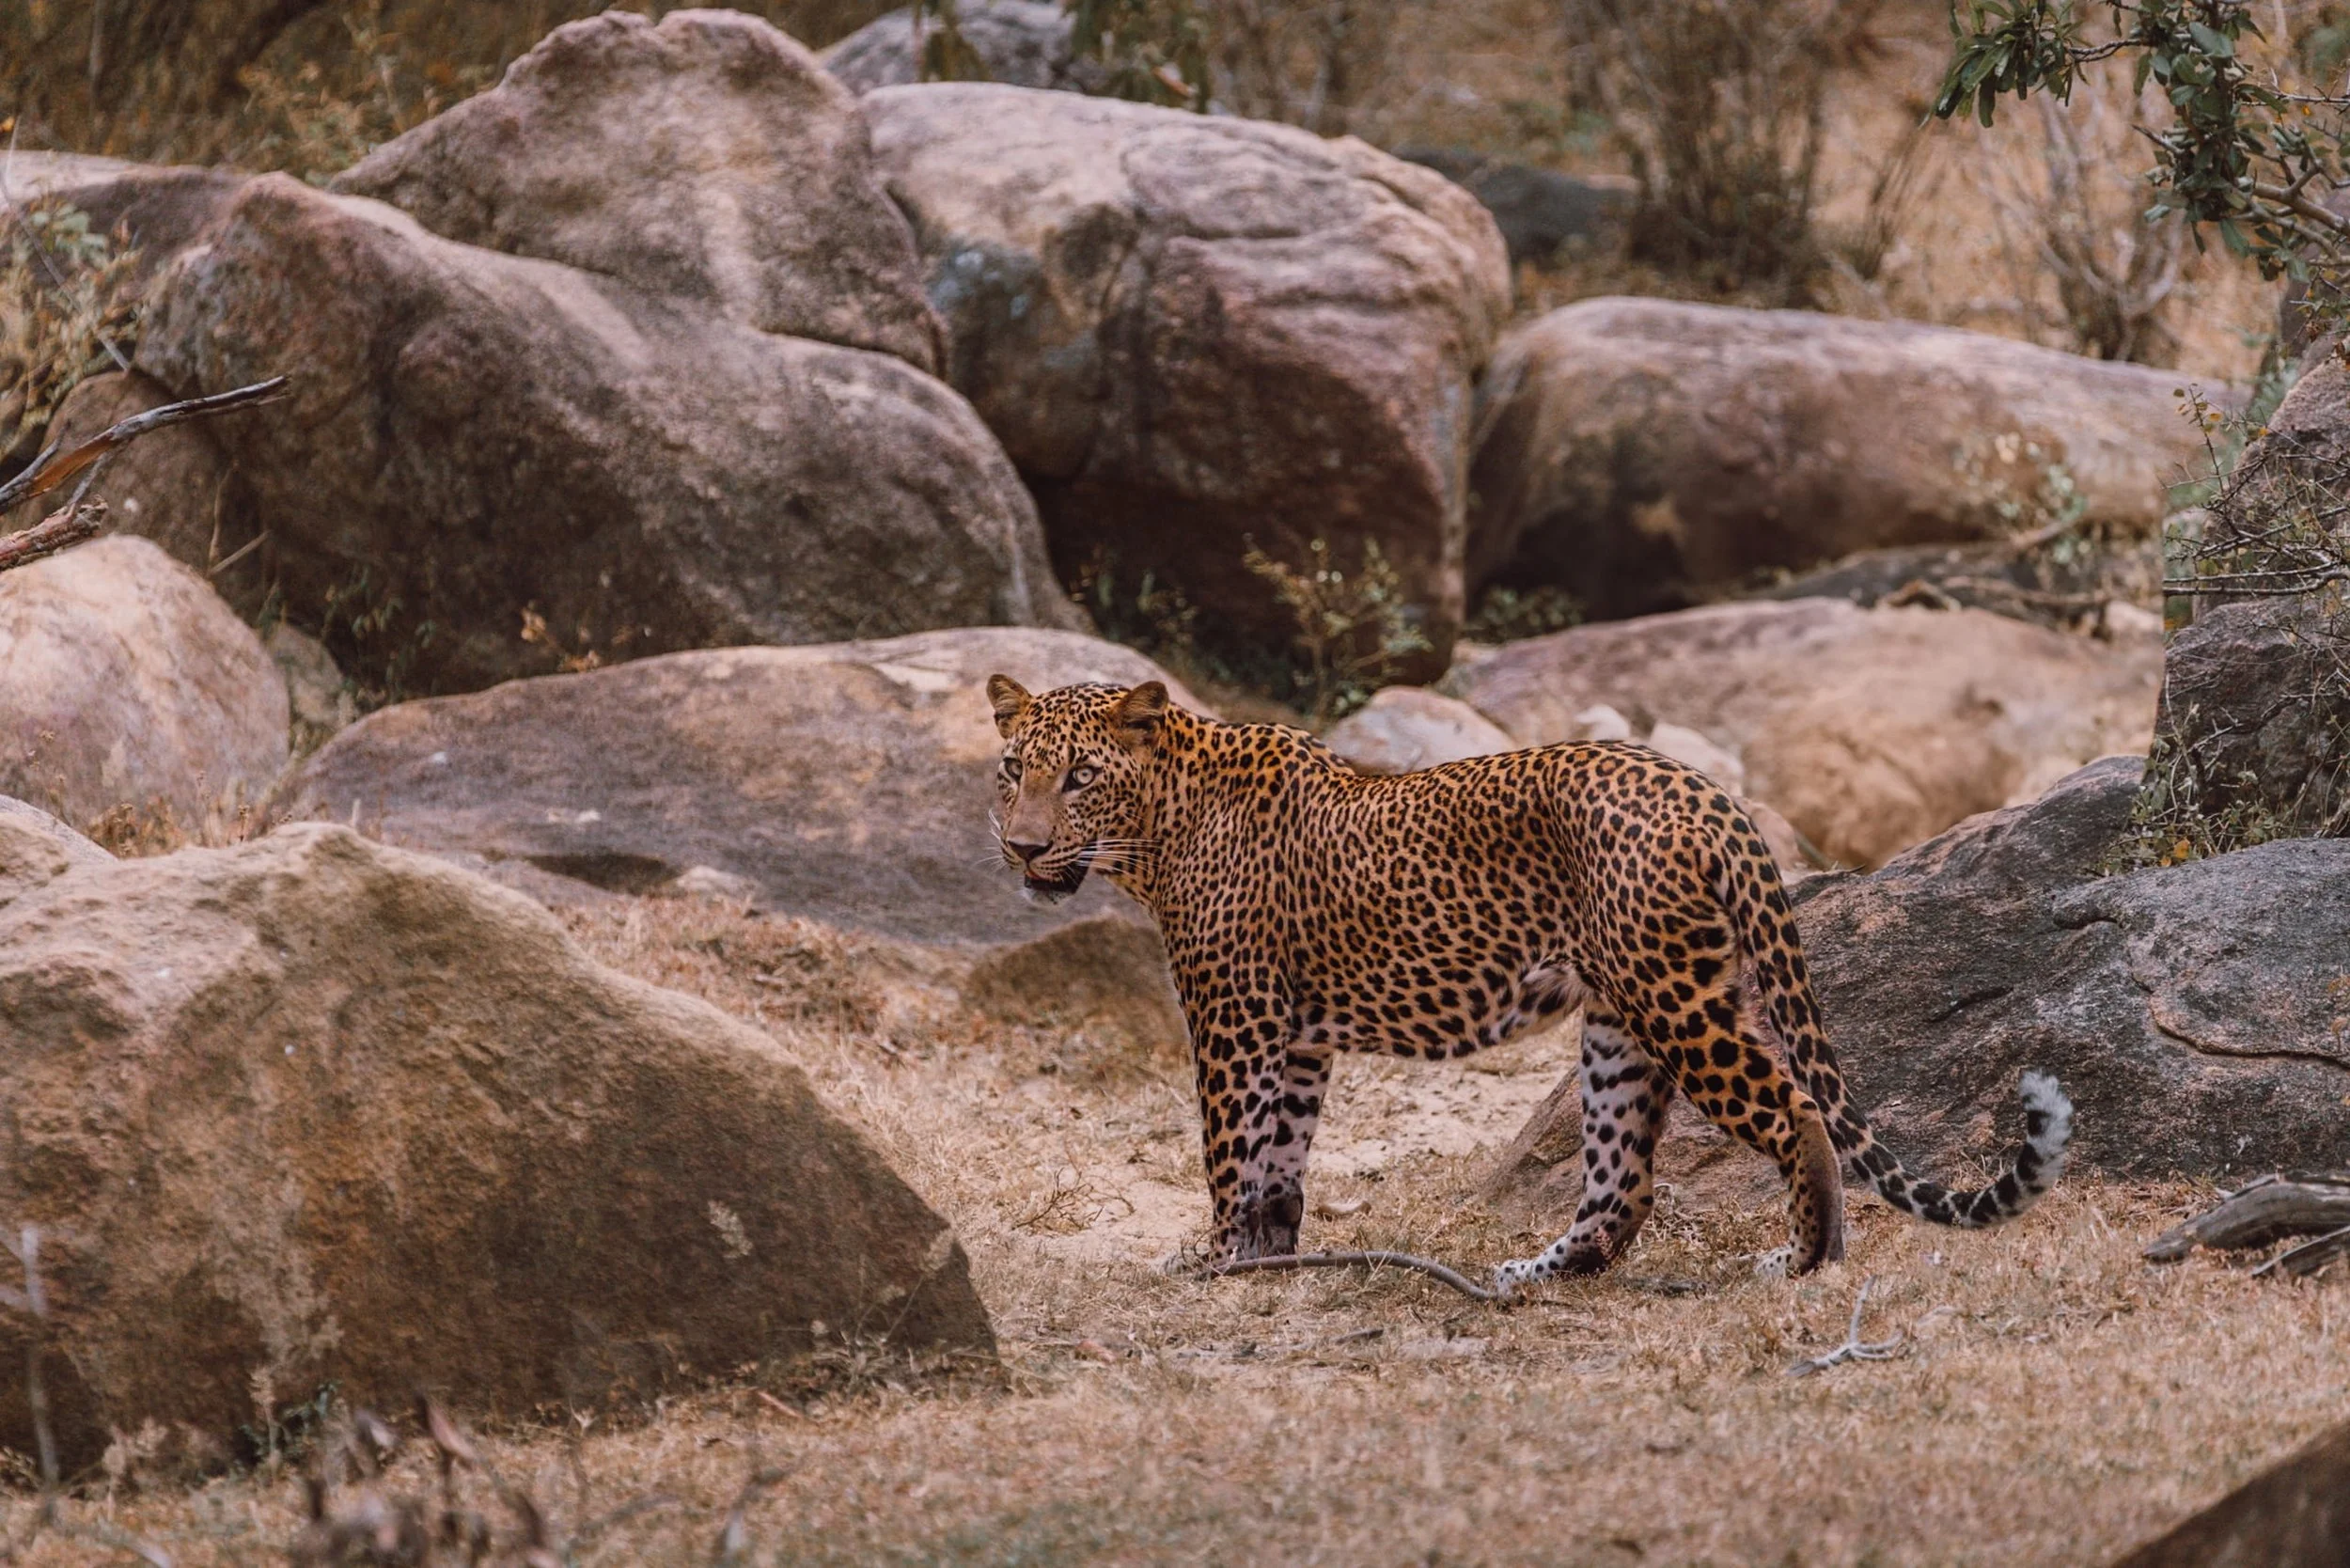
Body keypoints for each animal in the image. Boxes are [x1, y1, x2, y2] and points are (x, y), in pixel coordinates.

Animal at [985, 674, 2074, 1289]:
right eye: (1009, 770)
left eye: (1080, 776)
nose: (1021, 848)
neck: (1155, 829)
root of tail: (1708, 793)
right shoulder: (1296, 1039)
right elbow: (1278, 1163)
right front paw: (1268, 1261)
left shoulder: (1234, 1020)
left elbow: (1225, 1154)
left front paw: (1210, 1264)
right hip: (1619, 1025)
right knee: (1622, 1181)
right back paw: (1539, 1273)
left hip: (1672, 1001)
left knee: (1793, 1107)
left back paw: (1804, 1260)